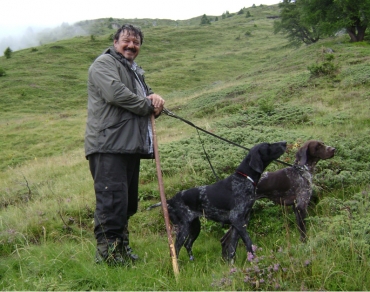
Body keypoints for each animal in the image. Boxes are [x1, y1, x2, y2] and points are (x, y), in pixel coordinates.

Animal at [149, 141, 288, 260]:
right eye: (268, 145)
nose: (285, 142)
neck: (244, 179)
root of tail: (170, 200)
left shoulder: (240, 222)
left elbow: (232, 249)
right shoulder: (236, 219)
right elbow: (248, 243)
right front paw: (254, 260)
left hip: (195, 226)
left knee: (187, 244)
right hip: (183, 227)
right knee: (176, 248)